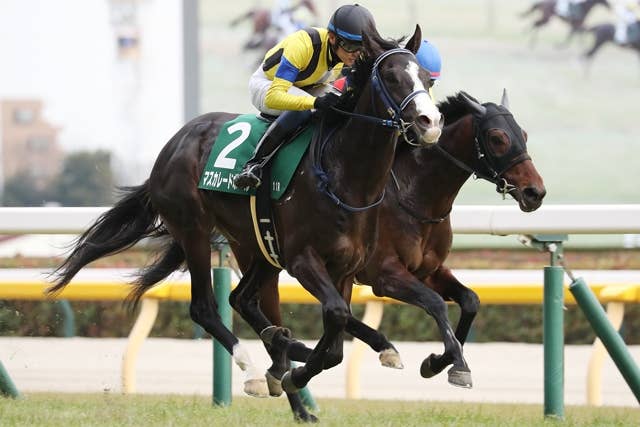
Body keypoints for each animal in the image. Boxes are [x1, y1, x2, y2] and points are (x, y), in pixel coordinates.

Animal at [48, 24, 442, 422]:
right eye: (391, 77)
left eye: (426, 79)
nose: (430, 123)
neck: (343, 176)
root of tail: (172, 146)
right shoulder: (303, 260)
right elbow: (335, 317)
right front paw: (295, 372)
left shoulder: (345, 267)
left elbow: (337, 336)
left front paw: (304, 359)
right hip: (195, 230)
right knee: (205, 307)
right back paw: (256, 368)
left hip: (261, 246)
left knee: (241, 298)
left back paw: (285, 350)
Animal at [256, 90, 546, 396]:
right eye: (497, 138)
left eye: (524, 134)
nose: (535, 192)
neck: (415, 195)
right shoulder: (385, 274)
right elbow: (435, 303)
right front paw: (456, 366)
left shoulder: (429, 270)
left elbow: (471, 301)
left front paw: (437, 361)